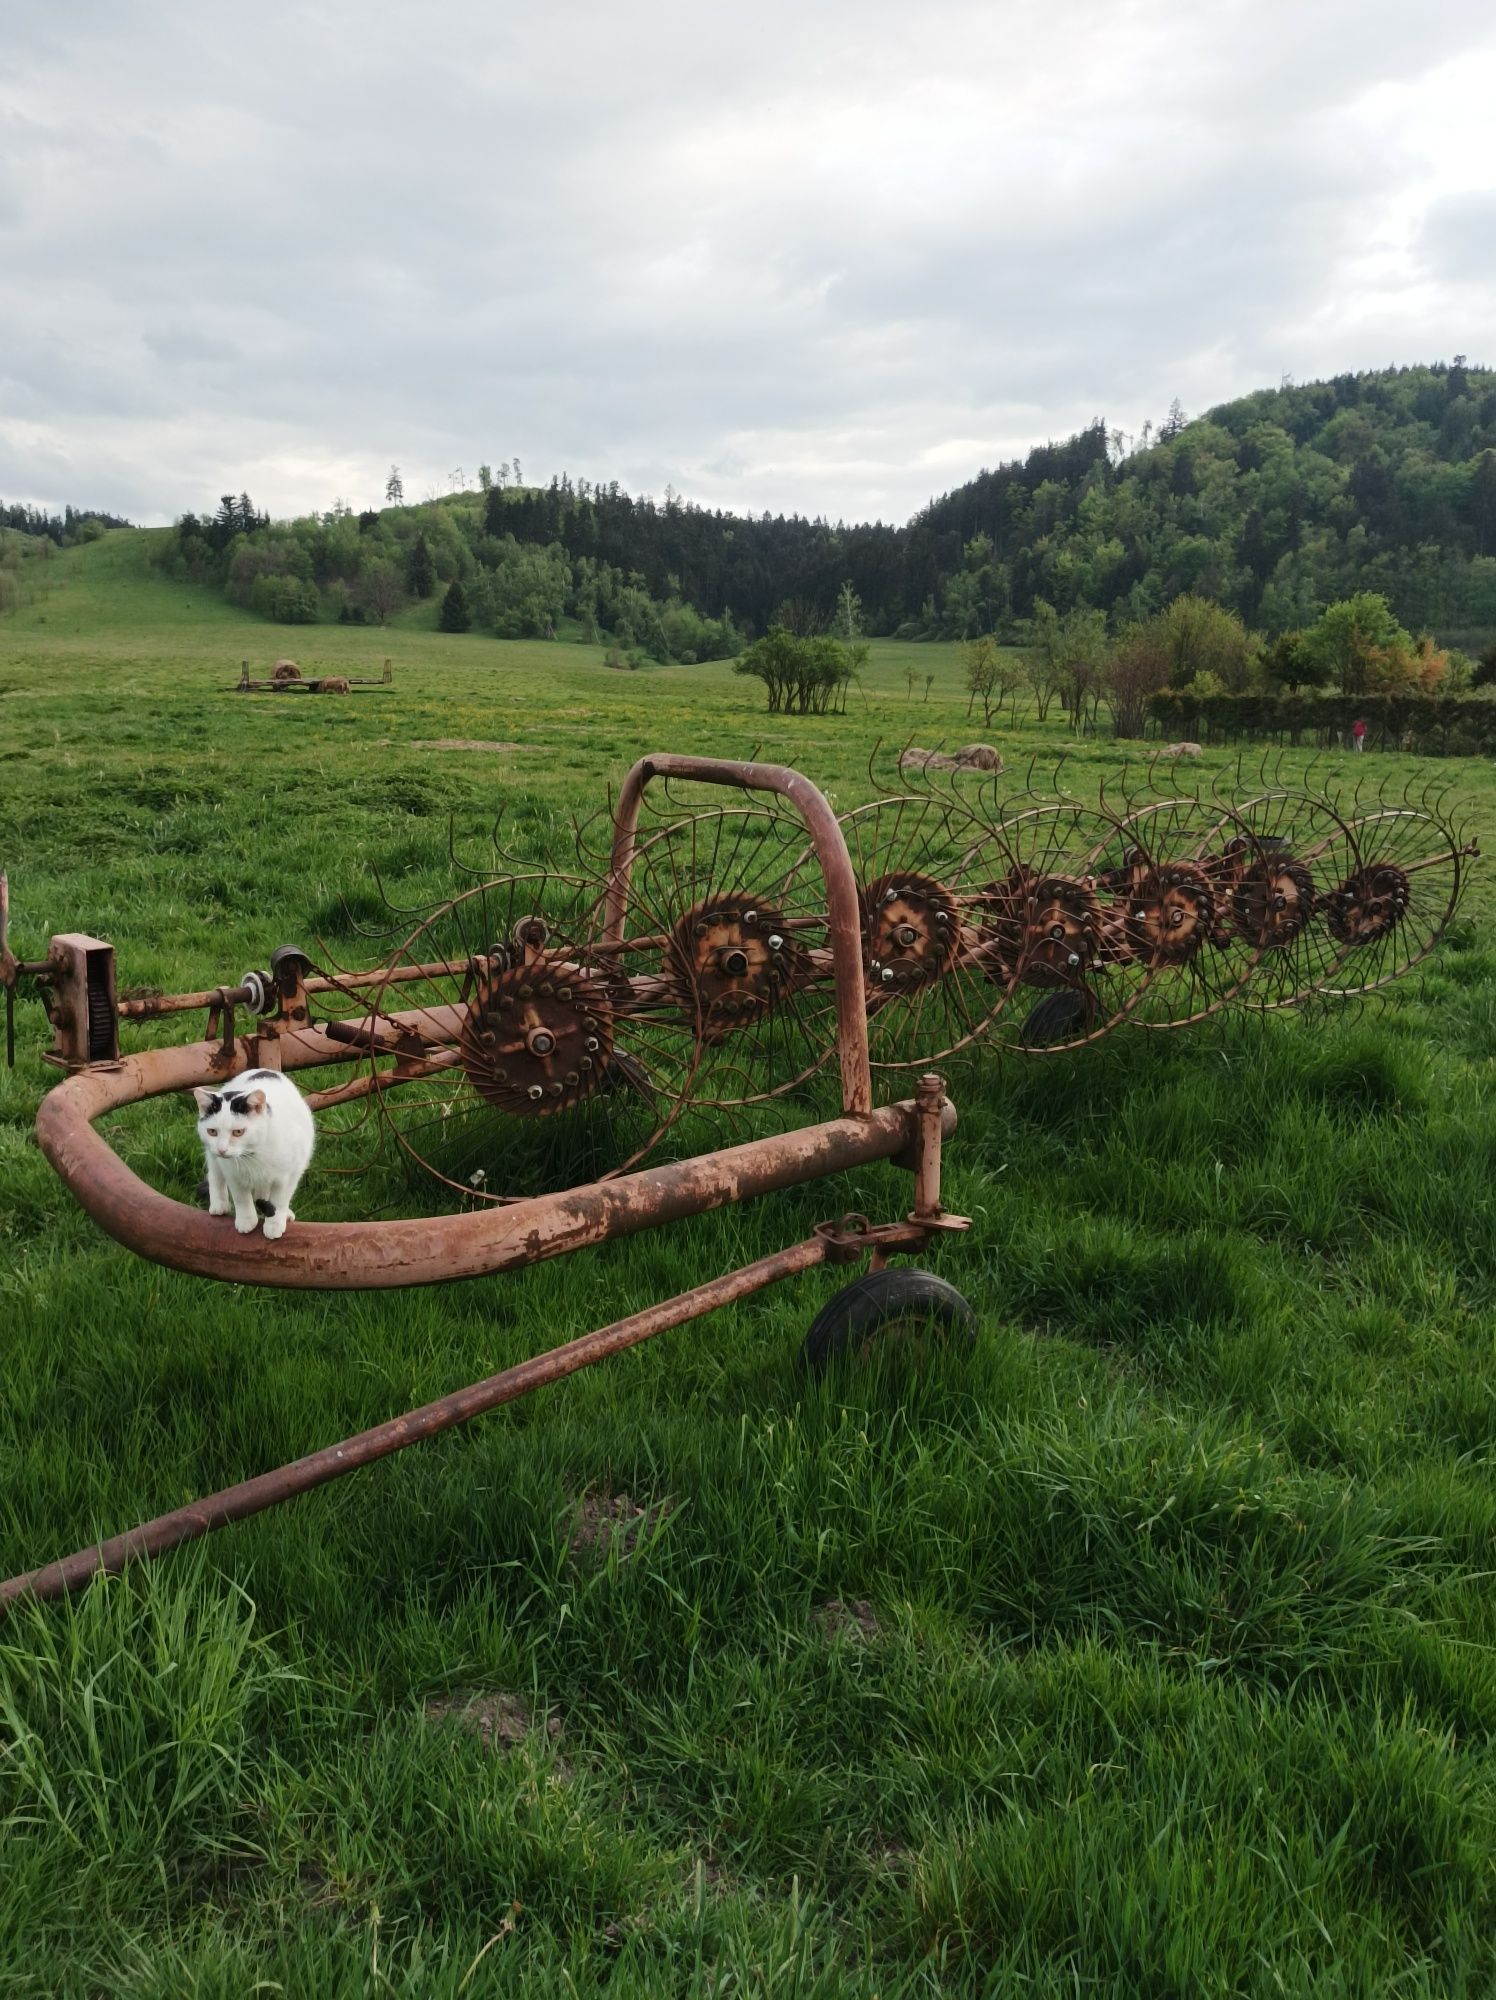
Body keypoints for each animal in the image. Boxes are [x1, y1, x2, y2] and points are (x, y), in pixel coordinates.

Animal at [193, 1072, 316, 1240]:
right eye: (212, 1131)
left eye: (238, 1132)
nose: (222, 1149)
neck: (252, 1156)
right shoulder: (232, 1173)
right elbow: (241, 1198)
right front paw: (247, 1221)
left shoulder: (289, 1174)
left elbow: (280, 1199)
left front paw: (274, 1224)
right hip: (213, 1156)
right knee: (215, 1175)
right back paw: (219, 1205)